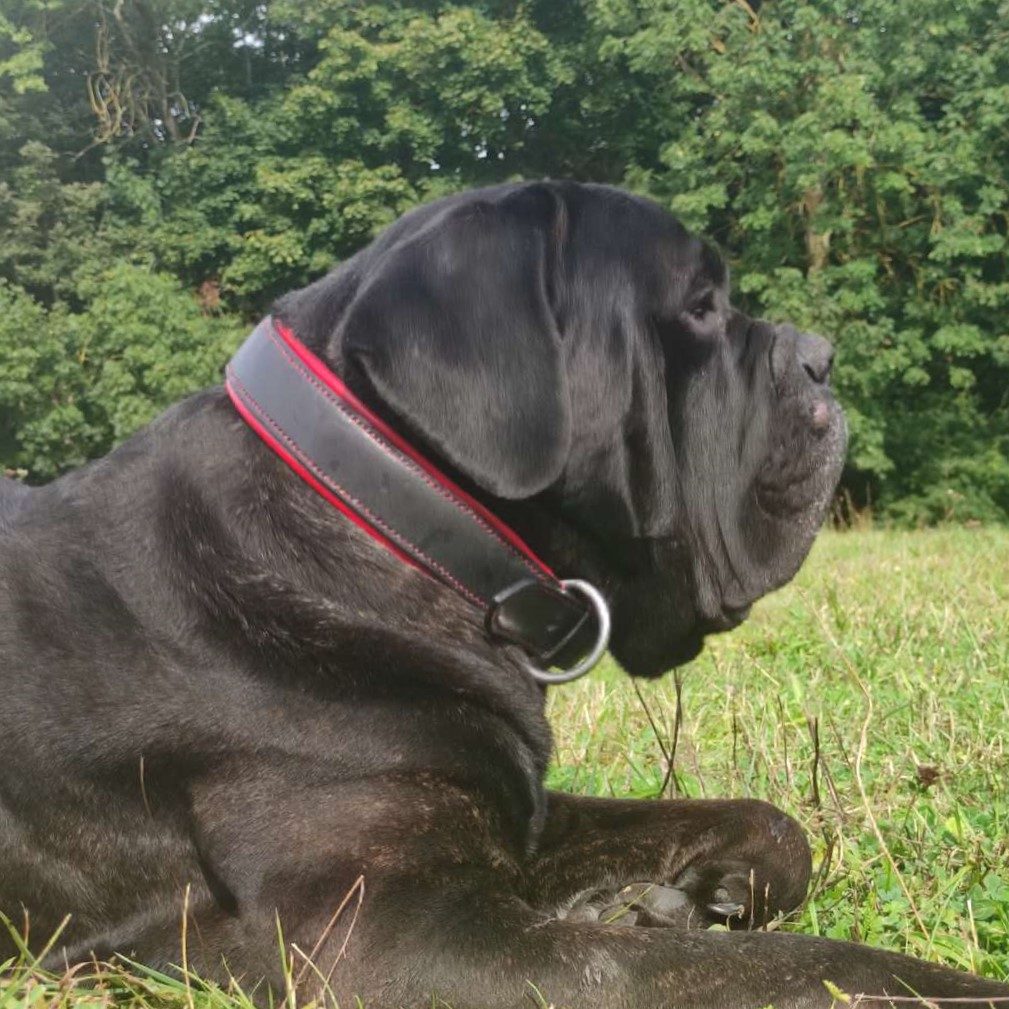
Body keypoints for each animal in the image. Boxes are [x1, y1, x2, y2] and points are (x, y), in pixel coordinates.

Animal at [1, 181, 1006, 1007]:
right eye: (697, 306)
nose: (818, 356)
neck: (387, 512)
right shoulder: (389, 934)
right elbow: (793, 970)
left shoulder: (517, 810)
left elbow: (760, 818)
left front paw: (684, 895)